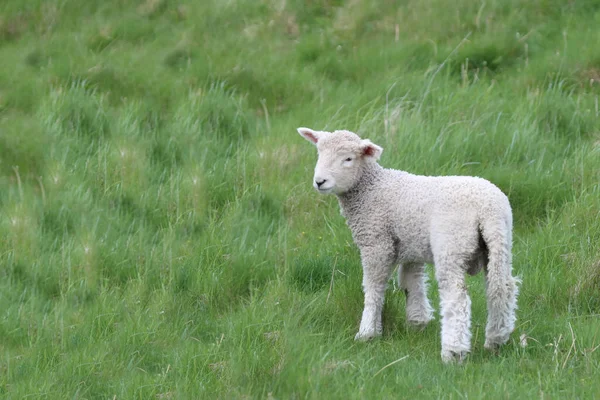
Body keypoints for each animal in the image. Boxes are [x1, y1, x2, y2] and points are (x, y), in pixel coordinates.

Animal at [298, 126, 516, 362]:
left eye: (348, 158)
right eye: (319, 153)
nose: (320, 182)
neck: (371, 189)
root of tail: (488, 208)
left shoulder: (376, 242)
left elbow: (374, 287)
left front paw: (367, 332)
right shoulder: (412, 245)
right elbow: (412, 283)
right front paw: (417, 322)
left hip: (452, 244)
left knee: (457, 297)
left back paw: (453, 352)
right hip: (501, 243)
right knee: (502, 288)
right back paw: (496, 340)